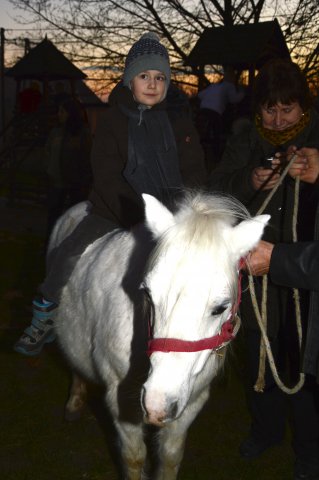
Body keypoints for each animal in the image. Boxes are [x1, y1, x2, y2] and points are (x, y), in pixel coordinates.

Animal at [50, 191, 270, 480]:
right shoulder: (121, 401)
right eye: (148, 295)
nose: (157, 404)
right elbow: (133, 458)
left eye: (221, 307)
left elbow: (170, 456)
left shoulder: (192, 401)